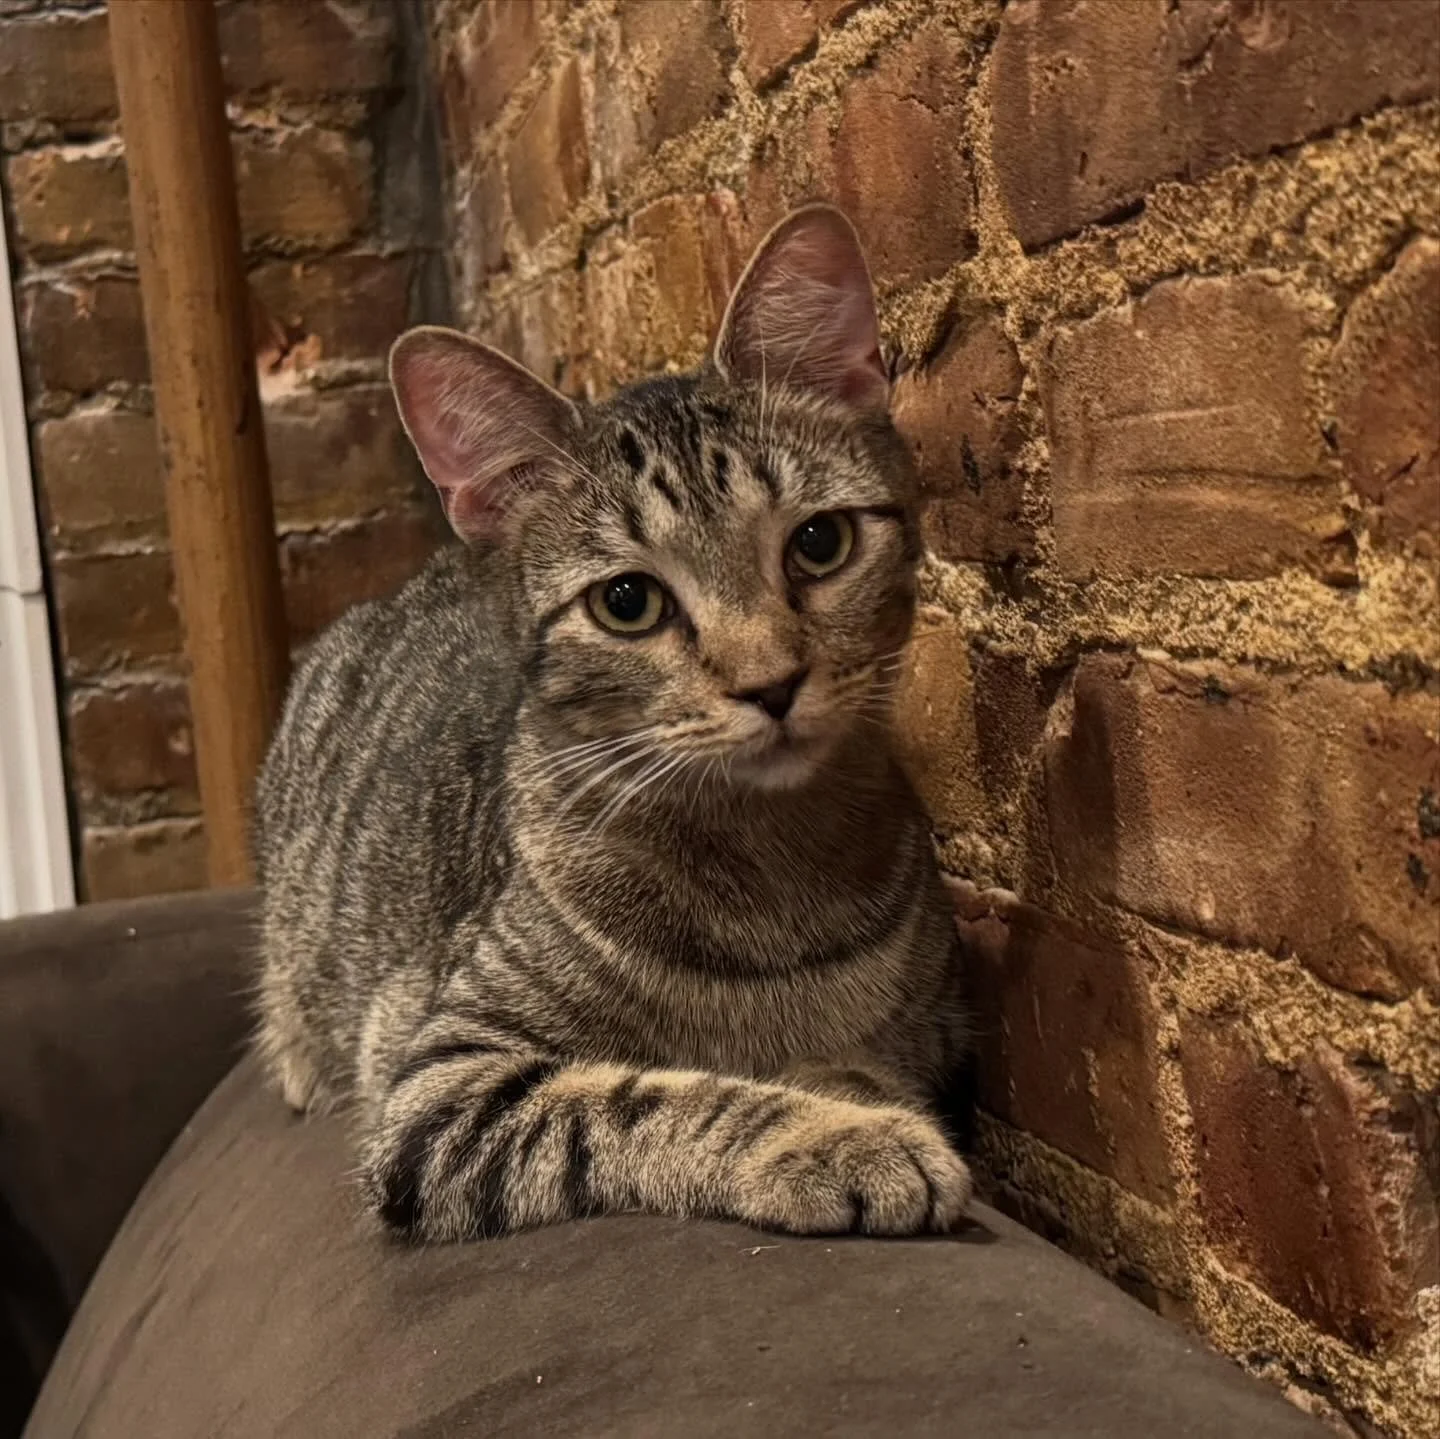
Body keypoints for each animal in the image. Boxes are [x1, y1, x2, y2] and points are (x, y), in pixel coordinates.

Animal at [254, 204, 973, 1242]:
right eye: (628, 602)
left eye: (820, 542)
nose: (771, 683)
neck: (767, 870)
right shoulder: (437, 1083)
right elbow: (645, 1098)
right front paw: (831, 1134)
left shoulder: (934, 1030)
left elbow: (861, 1061)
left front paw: (849, 1096)